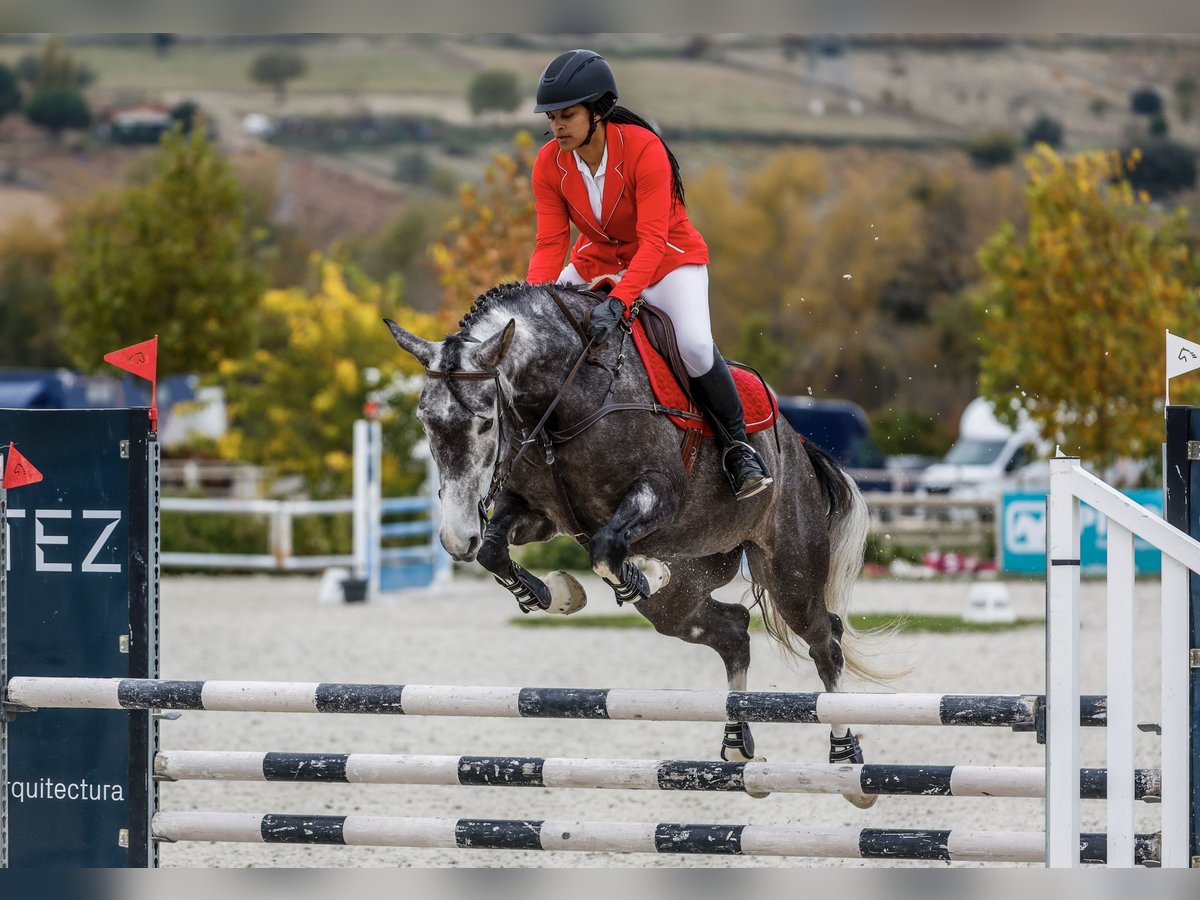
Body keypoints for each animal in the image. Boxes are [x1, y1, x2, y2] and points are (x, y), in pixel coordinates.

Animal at [384, 283, 892, 811]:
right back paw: (737, 746)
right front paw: (558, 593)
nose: (454, 537)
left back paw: (846, 762)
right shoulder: (536, 514)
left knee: (825, 640)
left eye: (485, 424)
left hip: (789, 569)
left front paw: (642, 571)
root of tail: (798, 443)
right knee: (733, 630)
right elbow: (494, 551)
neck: (565, 397)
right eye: (425, 421)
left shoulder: (658, 494)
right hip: (683, 602)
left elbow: (606, 546)